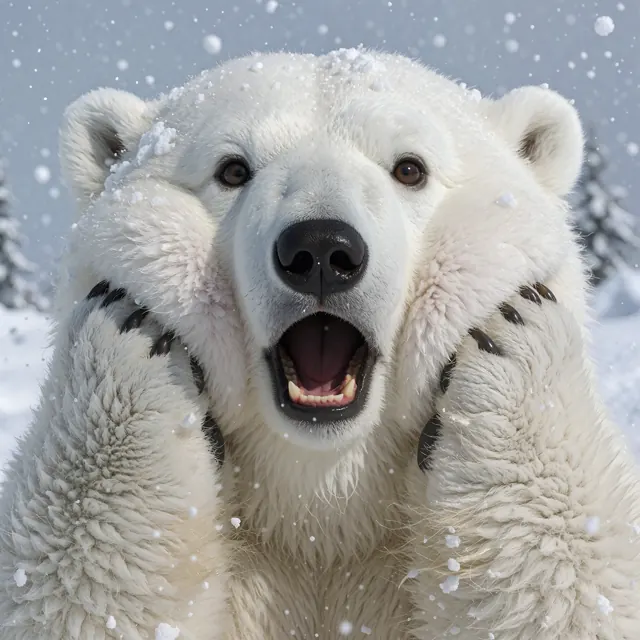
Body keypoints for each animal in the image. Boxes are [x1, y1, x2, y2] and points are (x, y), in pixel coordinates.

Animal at [0, 47, 639, 639]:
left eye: (410, 168)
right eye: (232, 169)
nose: (321, 250)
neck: (324, 506)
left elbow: (577, 584)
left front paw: (510, 333)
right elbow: (72, 588)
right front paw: (133, 333)